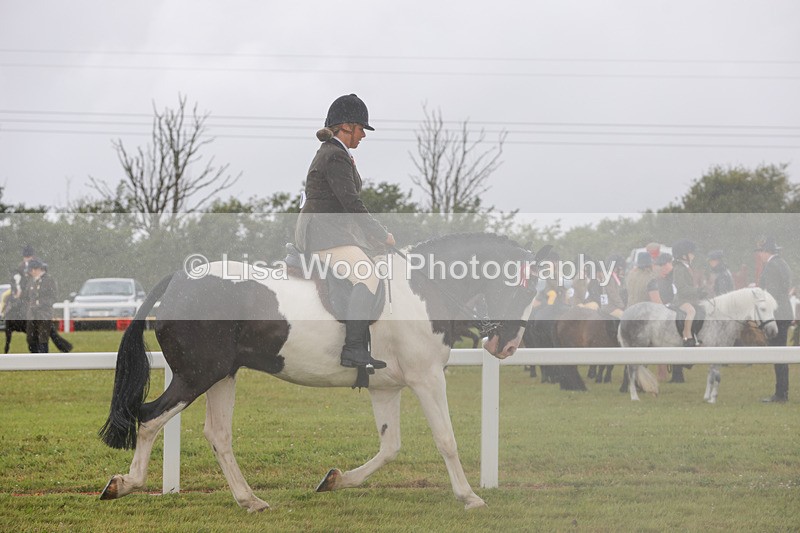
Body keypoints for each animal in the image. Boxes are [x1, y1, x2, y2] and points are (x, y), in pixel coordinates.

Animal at [98, 233, 541, 511]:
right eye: (527, 289)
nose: (507, 347)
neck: (424, 287)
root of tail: (179, 280)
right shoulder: (427, 377)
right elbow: (446, 439)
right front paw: (469, 497)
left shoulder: (387, 387)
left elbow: (390, 446)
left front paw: (335, 480)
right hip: (196, 376)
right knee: (150, 417)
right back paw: (124, 484)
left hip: (222, 375)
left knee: (218, 435)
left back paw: (250, 500)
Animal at [618, 287, 779, 403]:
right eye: (763, 309)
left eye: (773, 309)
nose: (773, 331)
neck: (720, 318)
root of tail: (626, 314)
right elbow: (716, 376)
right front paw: (713, 399)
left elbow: (711, 375)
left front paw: (707, 397)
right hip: (636, 348)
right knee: (631, 371)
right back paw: (634, 397)